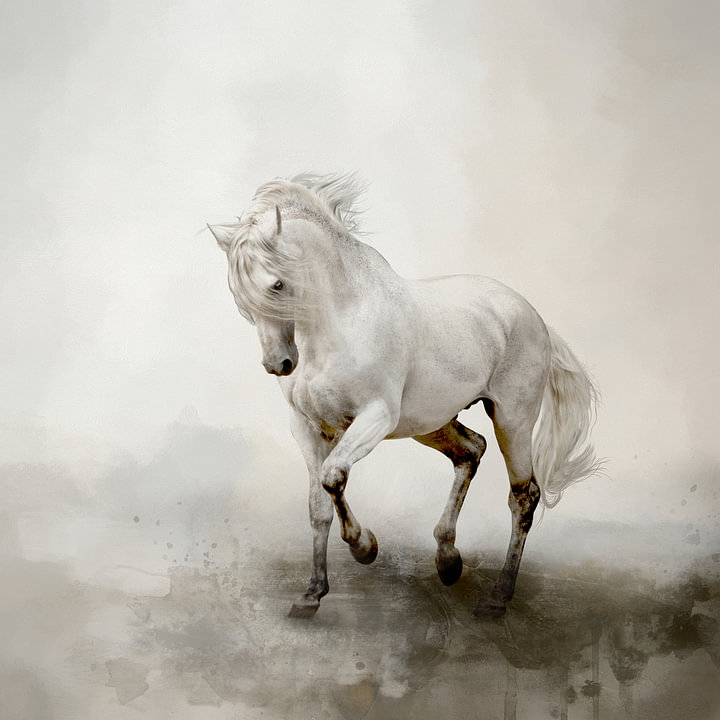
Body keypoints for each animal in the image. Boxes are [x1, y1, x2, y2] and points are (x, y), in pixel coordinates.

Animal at [209, 173, 600, 619]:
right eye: (238, 294)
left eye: (276, 283)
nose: (278, 364)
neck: (340, 320)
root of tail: (533, 316)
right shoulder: (307, 429)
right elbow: (317, 507)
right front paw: (311, 594)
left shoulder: (375, 418)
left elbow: (333, 477)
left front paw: (364, 546)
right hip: (430, 423)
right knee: (472, 450)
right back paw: (448, 560)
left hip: (512, 420)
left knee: (523, 496)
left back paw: (497, 597)